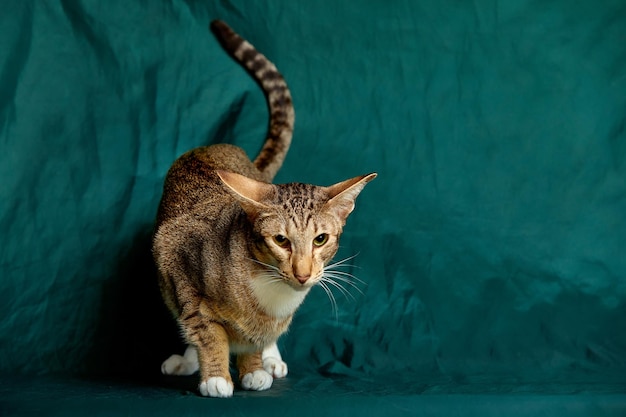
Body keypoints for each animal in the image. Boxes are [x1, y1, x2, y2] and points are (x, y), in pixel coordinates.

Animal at [151, 21, 376, 398]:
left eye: (320, 239)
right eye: (281, 241)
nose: (302, 274)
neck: (271, 292)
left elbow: (257, 334)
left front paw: (255, 366)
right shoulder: (177, 262)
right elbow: (205, 329)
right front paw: (215, 375)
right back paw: (190, 359)